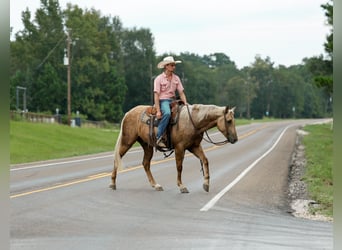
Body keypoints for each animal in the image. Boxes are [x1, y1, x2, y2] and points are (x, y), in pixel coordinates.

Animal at [110, 103, 238, 193]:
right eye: (229, 121)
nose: (235, 139)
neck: (193, 121)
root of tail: (128, 113)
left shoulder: (194, 147)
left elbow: (205, 160)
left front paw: (206, 184)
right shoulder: (180, 148)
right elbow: (179, 167)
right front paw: (182, 186)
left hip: (147, 146)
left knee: (146, 164)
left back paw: (156, 185)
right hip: (127, 142)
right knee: (117, 158)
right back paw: (112, 184)